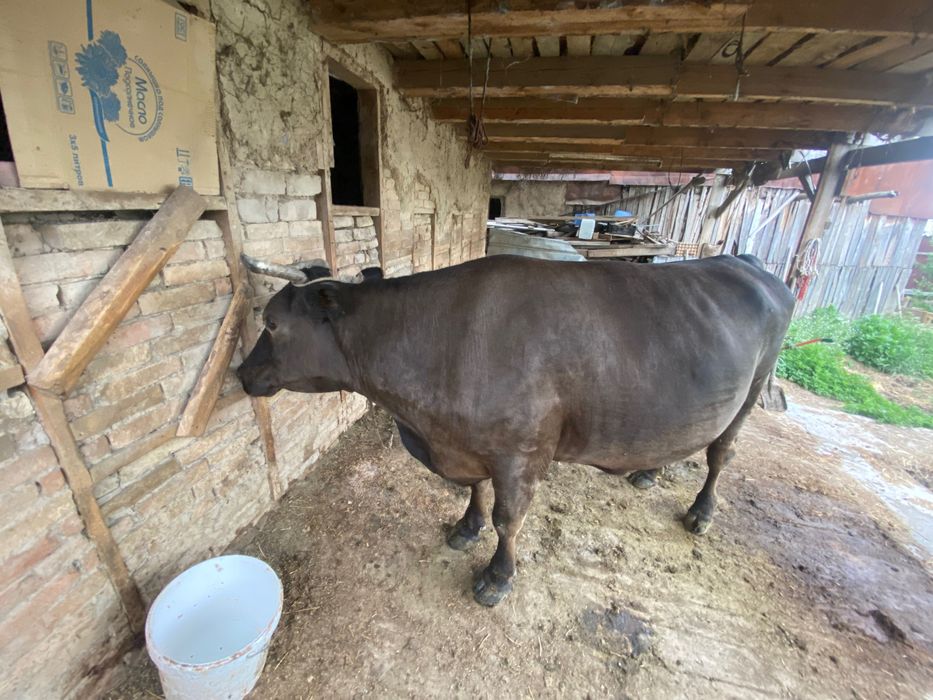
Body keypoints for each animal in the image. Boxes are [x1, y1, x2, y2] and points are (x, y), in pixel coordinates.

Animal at [237, 253, 794, 606]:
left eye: (270, 323)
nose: (241, 373)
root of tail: (743, 261)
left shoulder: (519, 454)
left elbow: (509, 520)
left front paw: (497, 578)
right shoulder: (467, 443)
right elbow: (475, 491)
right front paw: (466, 527)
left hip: (751, 391)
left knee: (721, 454)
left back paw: (702, 513)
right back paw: (647, 472)